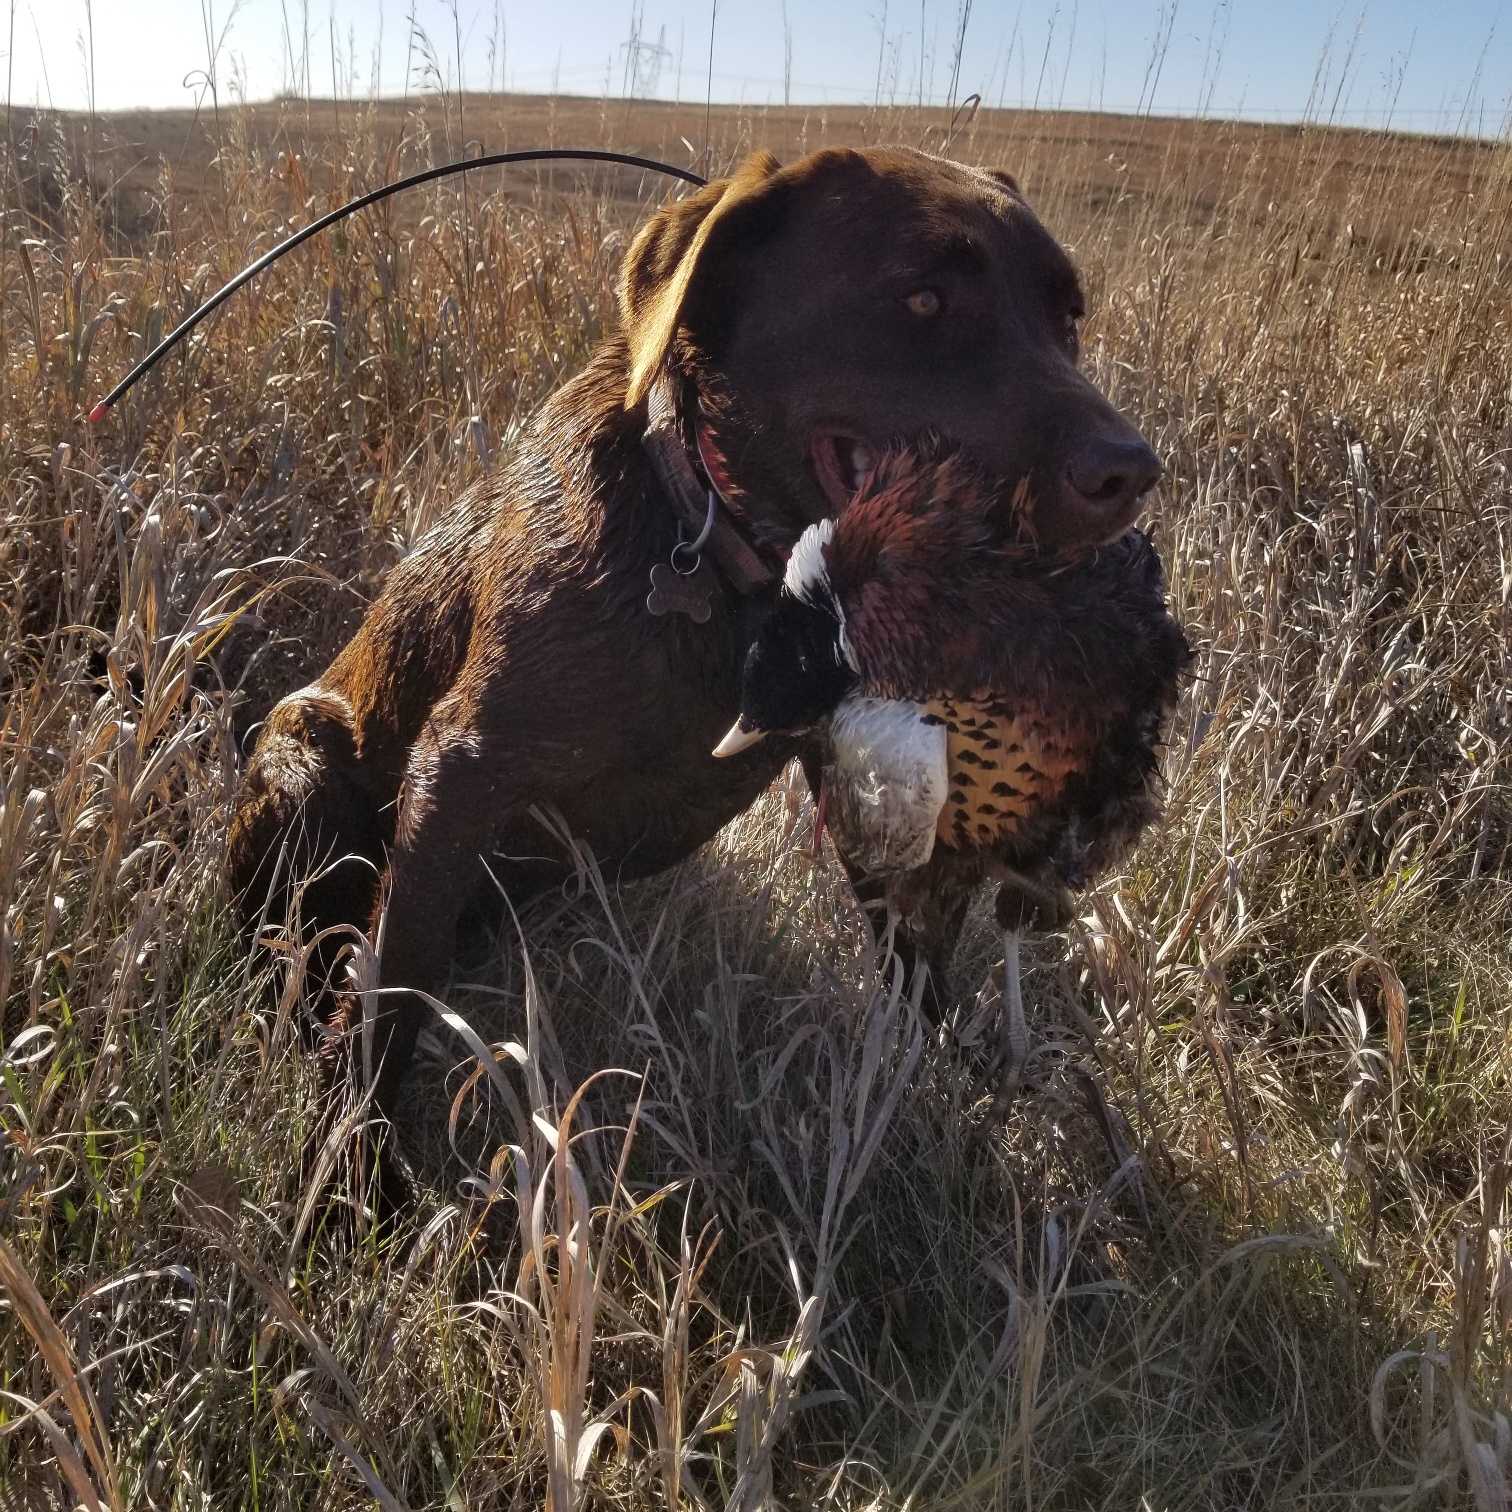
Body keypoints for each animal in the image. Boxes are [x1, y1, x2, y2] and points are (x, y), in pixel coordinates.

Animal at [229, 147, 1161, 1130]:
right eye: (923, 300)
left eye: (1070, 316)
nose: (1129, 471)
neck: (719, 564)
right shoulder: (457, 772)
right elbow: (390, 999)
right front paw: (352, 1160)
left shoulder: (858, 766)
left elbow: (912, 956)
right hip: (303, 760)